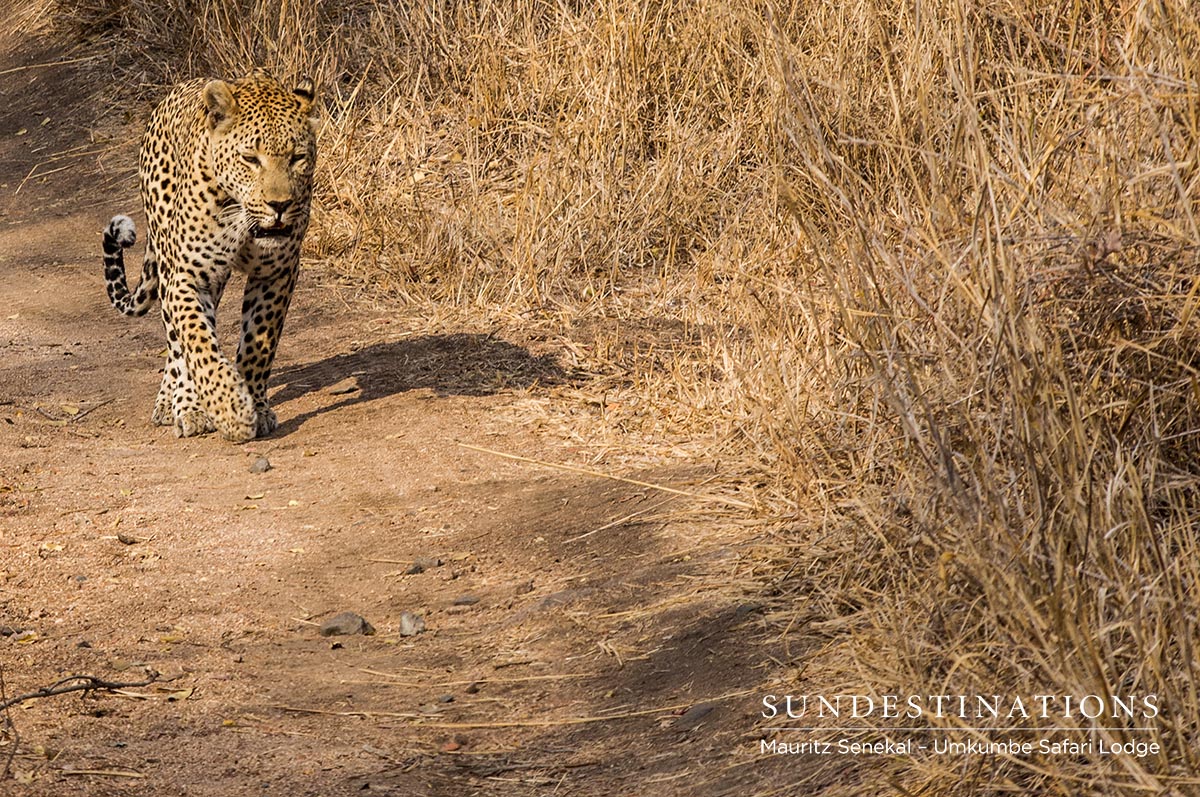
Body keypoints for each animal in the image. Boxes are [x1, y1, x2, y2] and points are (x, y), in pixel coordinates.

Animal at [102, 69, 318, 442]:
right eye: (250, 159)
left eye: (297, 158)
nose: (279, 206)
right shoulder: (187, 277)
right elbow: (198, 342)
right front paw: (229, 408)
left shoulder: (278, 273)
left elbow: (259, 343)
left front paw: (256, 406)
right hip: (171, 263)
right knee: (177, 345)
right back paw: (182, 406)